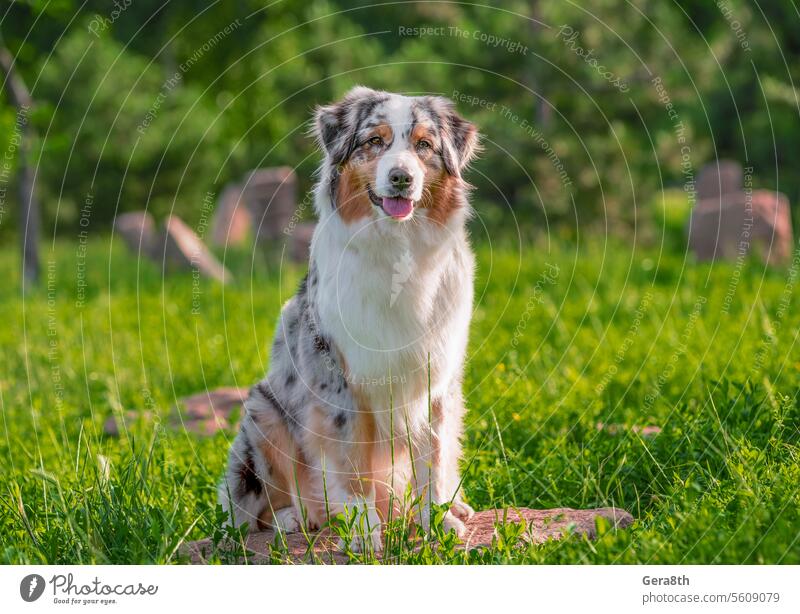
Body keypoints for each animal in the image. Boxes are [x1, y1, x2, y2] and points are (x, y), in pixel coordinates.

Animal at [219, 84, 478, 552]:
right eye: (374, 141)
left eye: (424, 146)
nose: (401, 178)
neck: (398, 248)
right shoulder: (337, 379)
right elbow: (351, 462)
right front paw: (364, 530)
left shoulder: (437, 376)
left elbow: (433, 457)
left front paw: (438, 521)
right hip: (261, 410)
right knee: (254, 510)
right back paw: (297, 517)